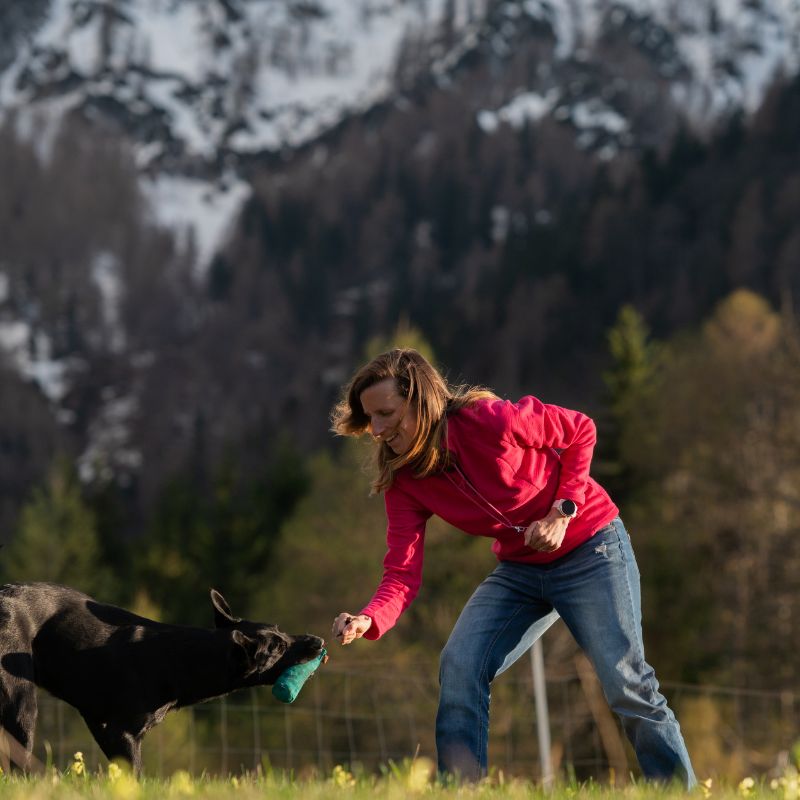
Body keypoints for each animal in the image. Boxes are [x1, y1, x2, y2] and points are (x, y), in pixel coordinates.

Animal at [0, 580, 324, 776]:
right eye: (277, 648)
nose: (318, 641)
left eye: (281, 630)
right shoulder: (122, 732)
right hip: (21, 706)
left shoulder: (100, 723)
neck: (183, 657)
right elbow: (136, 774)